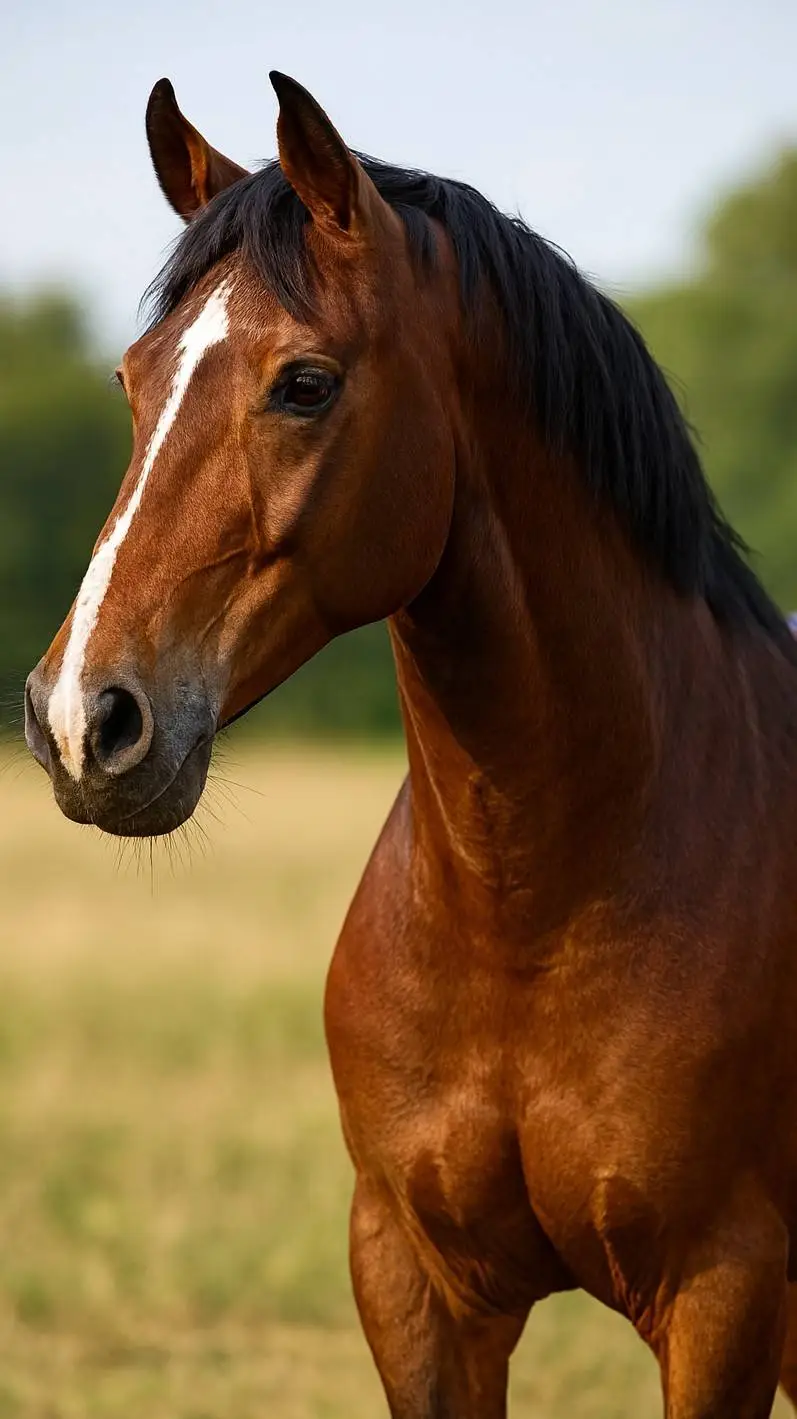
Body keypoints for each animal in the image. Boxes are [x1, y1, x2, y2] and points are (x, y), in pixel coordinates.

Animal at [23, 72, 797, 1417]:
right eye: (129, 380)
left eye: (305, 382)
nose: (80, 719)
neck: (529, 908)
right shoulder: (418, 1287)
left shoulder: (722, 1296)